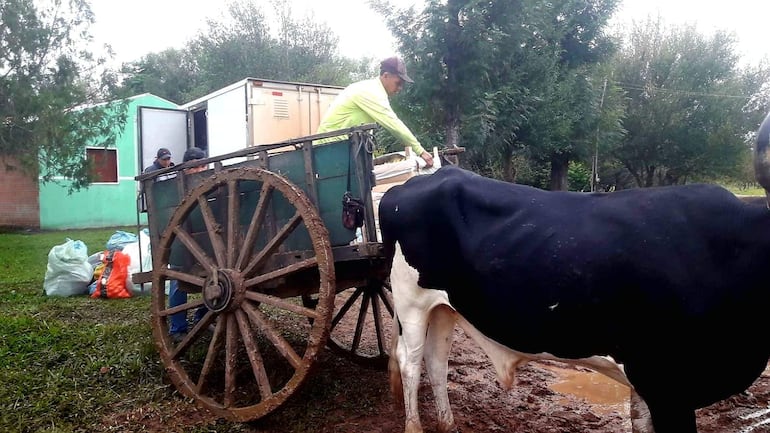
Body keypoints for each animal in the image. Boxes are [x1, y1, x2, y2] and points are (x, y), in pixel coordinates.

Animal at [378, 113, 770, 433]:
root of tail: (415, 182)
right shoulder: (665, 383)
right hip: (410, 301)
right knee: (410, 363)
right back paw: (414, 427)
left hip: (444, 307)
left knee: (436, 361)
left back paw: (448, 425)